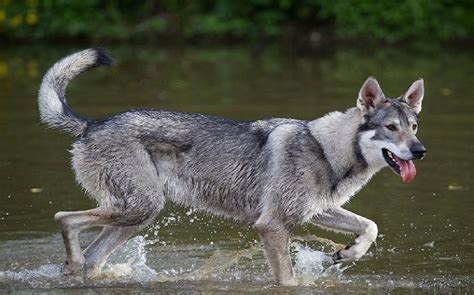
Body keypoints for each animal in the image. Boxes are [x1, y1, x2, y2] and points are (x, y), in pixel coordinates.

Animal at [38, 49, 426, 286]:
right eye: (391, 128)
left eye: (414, 126)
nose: (420, 151)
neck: (327, 149)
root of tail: (92, 124)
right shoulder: (272, 226)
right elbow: (287, 280)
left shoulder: (316, 211)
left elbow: (370, 227)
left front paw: (347, 253)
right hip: (140, 208)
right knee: (63, 218)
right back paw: (72, 261)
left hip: (138, 216)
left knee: (91, 255)